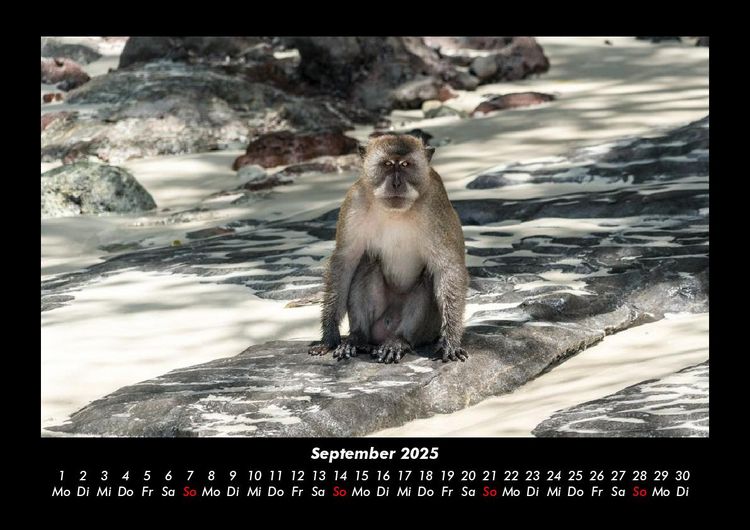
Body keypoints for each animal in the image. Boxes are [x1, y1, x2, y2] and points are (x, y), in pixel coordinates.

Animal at [308, 133, 468, 364]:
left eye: (405, 164)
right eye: (387, 164)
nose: (396, 183)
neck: (395, 212)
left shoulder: (435, 205)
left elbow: (448, 267)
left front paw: (451, 341)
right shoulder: (354, 200)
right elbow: (345, 261)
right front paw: (329, 337)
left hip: (426, 330)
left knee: (427, 276)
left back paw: (398, 341)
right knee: (367, 261)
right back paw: (357, 337)